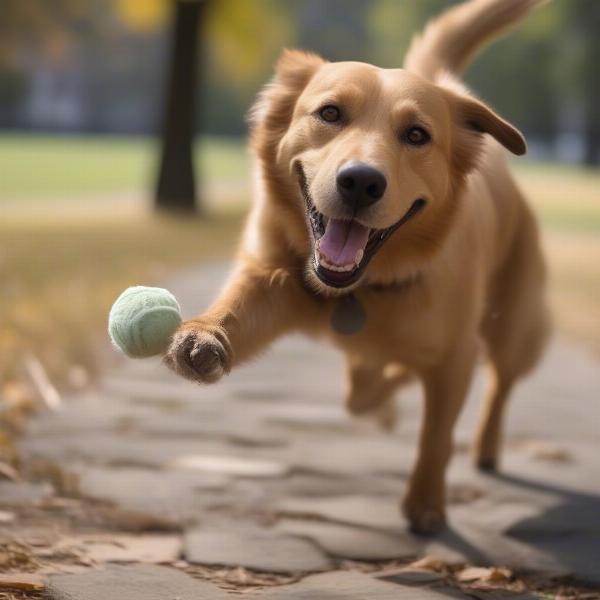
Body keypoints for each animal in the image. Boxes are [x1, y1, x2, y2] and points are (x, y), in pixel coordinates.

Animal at [164, 0, 548, 536]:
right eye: (330, 113)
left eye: (416, 135)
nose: (361, 182)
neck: (362, 287)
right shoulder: (272, 278)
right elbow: (238, 311)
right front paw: (202, 337)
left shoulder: (455, 356)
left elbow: (435, 435)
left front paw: (426, 505)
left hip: (514, 324)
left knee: (501, 382)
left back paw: (485, 446)